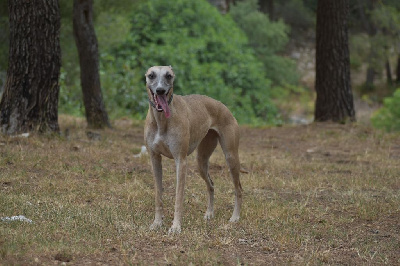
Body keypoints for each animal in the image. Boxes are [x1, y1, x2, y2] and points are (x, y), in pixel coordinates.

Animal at [145, 66, 242, 233]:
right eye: (151, 75)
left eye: (169, 76)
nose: (160, 90)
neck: (162, 121)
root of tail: (222, 105)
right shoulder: (155, 159)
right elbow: (158, 195)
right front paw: (157, 223)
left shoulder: (181, 161)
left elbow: (178, 197)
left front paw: (176, 226)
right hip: (201, 162)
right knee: (211, 185)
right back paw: (209, 213)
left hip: (231, 156)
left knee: (238, 189)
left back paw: (235, 217)